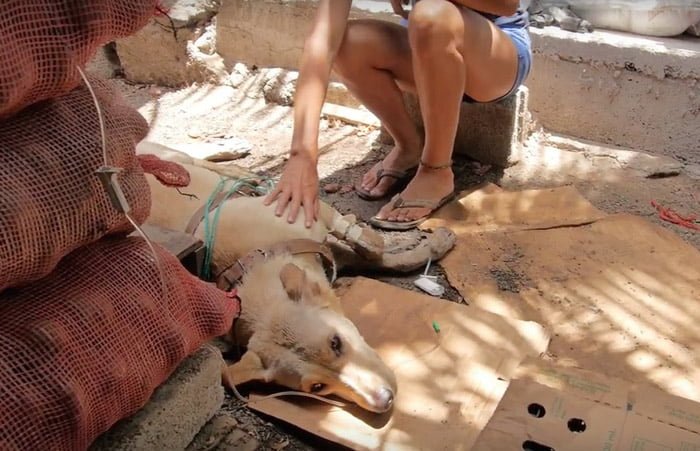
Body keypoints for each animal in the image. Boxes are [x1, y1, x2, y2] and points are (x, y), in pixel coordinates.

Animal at [138, 141, 454, 414]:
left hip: (172, 157)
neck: (255, 262)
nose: (385, 401)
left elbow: (371, 248)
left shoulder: (315, 213)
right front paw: (430, 248)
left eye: (335, 342)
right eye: (317, 387)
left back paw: (240, 167)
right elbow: (380, 258)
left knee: (192, 158)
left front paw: (432, 243)